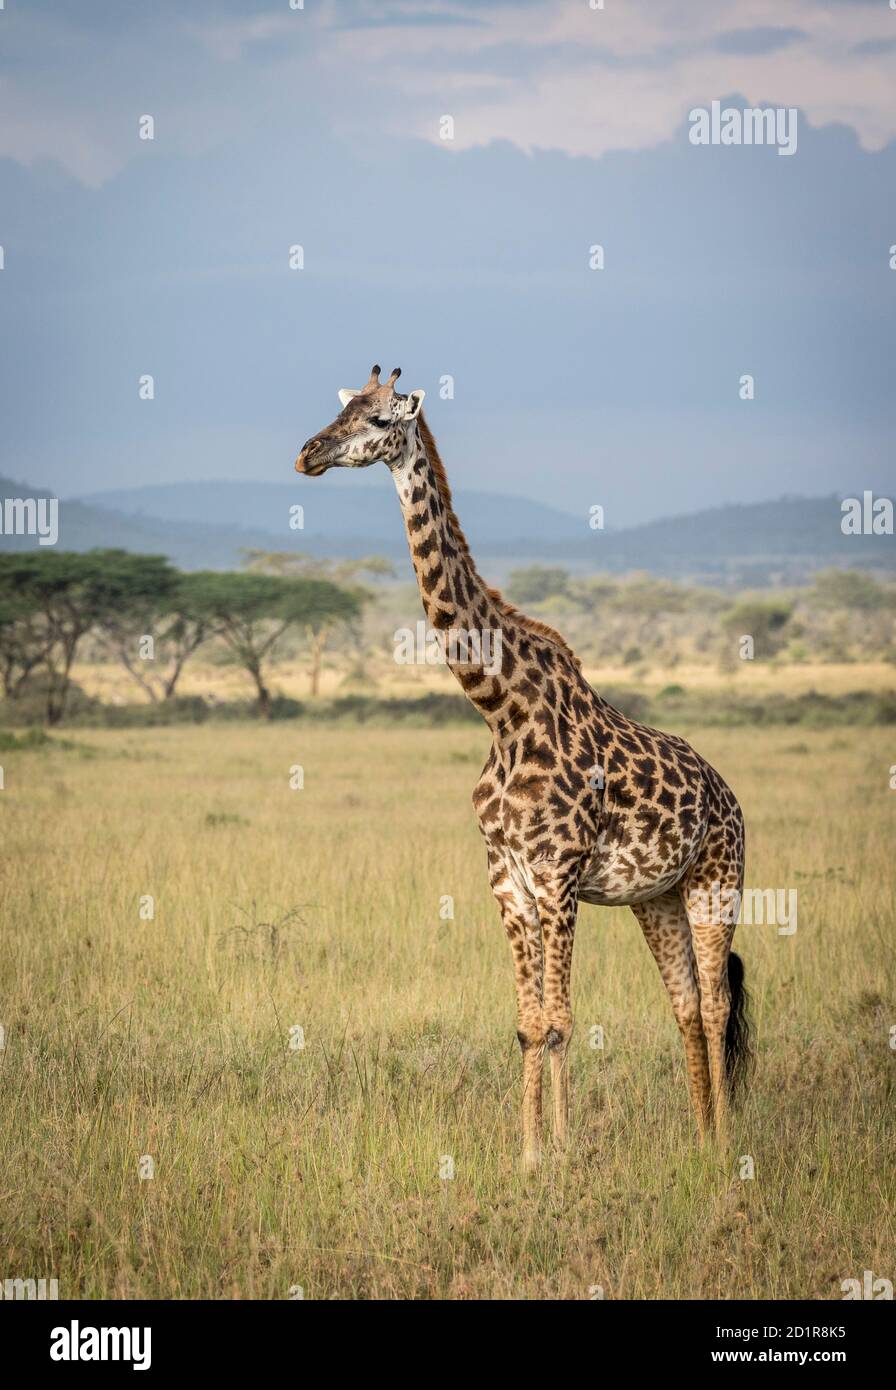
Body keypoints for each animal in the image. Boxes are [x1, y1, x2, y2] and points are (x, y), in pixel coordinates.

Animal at [297, 366, 750, 1173]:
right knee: (688, 1006)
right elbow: (528, 1023)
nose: (308, 454)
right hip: (656, 897)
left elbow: (562, 1019)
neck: (500, 708)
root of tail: (729, 799)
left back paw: (725, 1142)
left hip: (716, 881)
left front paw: (560, 1153)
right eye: (339, 409)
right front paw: (530, 1151)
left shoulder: (558, 874)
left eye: (378, 419)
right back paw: (699, 1137)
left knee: (720, 1003)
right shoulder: (505, 877)